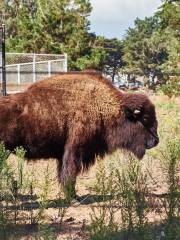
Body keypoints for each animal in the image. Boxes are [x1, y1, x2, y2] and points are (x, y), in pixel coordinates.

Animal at [0, 72, 158, 196]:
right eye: (144, 119)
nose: (156, 141)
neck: (103, 107)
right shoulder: (75, 150)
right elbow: (70, 173)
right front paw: (73, 197)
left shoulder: (63, 154)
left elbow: (63, 173)